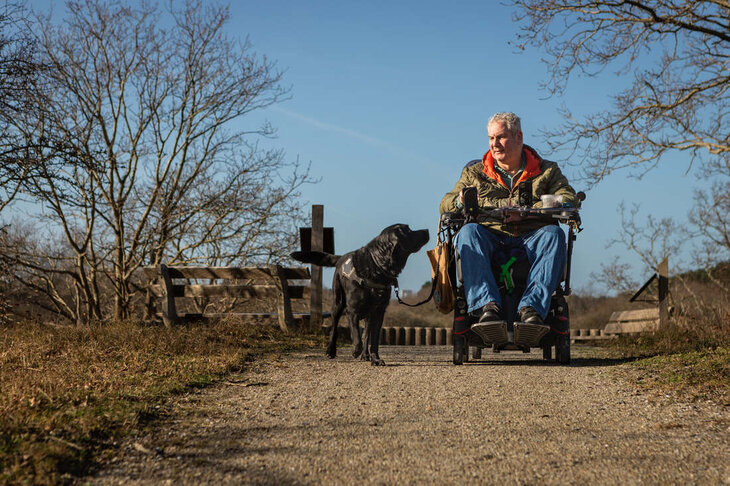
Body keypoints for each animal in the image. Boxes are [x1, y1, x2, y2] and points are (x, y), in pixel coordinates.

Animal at [290, 224, 426, 364]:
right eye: (407, 230)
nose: (426, 231)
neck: (377, 266)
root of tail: (341, 257)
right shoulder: (352, 311)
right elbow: (356, 336)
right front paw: (355, 351)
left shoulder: (379, 312)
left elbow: (373, 339)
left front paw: (376, 359)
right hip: (338, 303)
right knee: (334, 329)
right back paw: (331, 351)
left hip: (367, 314)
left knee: (366, 335)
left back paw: (365, 355)